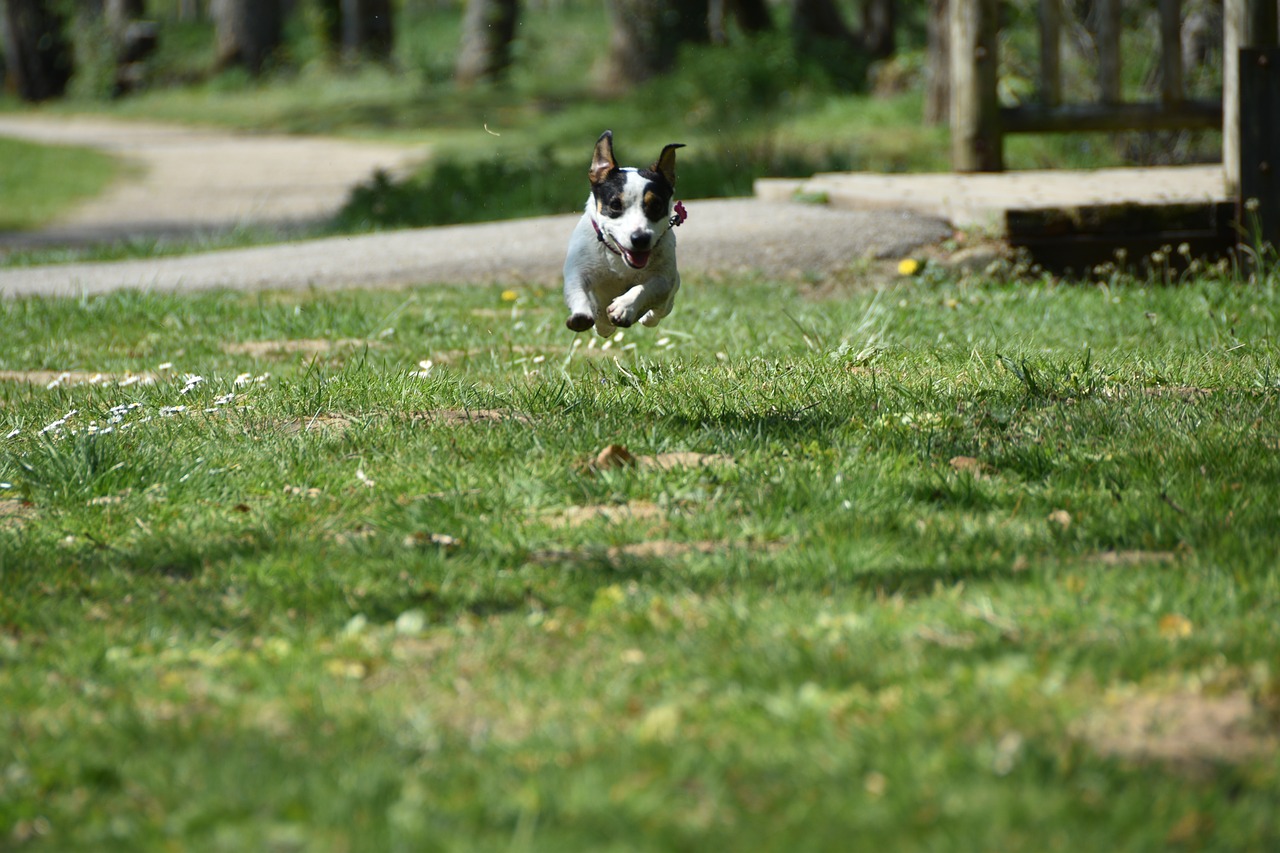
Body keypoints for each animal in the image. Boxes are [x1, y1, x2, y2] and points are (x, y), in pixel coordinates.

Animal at [558, 129, 686, 335]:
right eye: (615, 205)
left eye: (656, 206)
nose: (640, 238)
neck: (618, 257)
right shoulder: (577, 270)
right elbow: (577, 289)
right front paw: (581, 315)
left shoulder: (664, 278)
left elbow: (648, 287)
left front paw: (625, 306)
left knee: (660, 310)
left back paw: (648, 316)